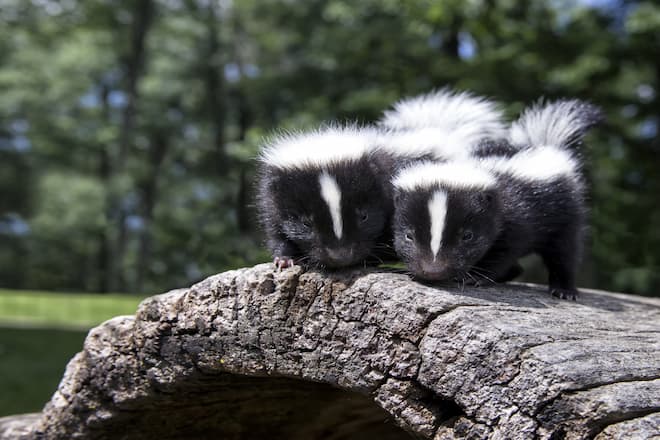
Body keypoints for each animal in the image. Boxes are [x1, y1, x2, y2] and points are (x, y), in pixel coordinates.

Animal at [392, 99, 604, 300]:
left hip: (566, 212)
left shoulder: (517, 216)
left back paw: (564, 290)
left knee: (565, 252)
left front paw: (475, 277)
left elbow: (505, 251)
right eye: (409, 236)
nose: (433, 270)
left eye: (468, 236)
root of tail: (545, 144)